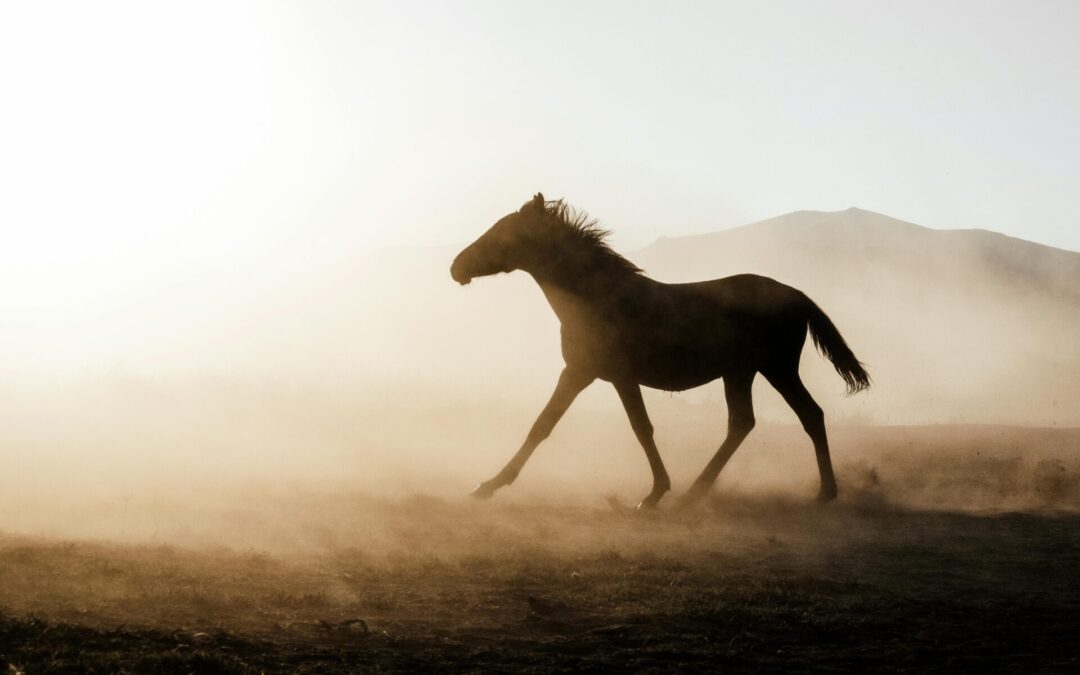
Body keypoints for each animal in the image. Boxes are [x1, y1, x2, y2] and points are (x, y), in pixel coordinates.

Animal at [450, 193, 870, 509]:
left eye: (503, 233)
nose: (456, 267)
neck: (596, 298)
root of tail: (798, 296)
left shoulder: (607, 375)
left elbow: (637, 428)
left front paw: (653, 495)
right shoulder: (583, 372)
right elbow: (545, 423)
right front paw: (488, 485)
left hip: (773, 369)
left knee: (794, 417)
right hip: (746, 372)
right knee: (759, 421)